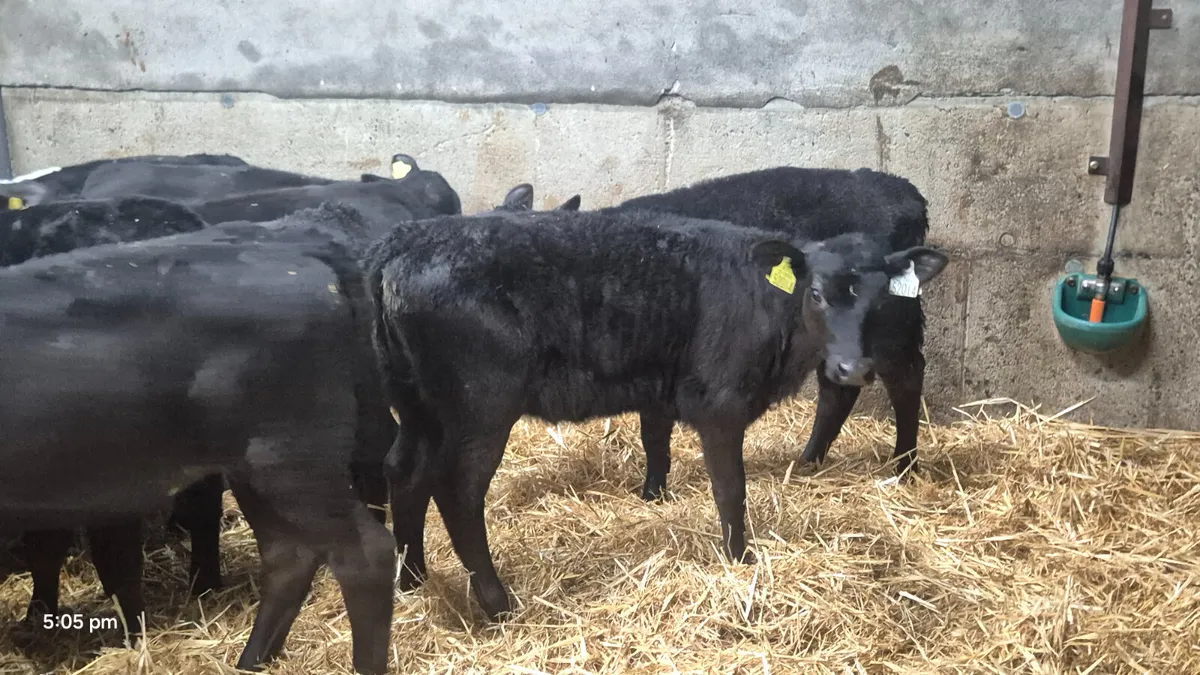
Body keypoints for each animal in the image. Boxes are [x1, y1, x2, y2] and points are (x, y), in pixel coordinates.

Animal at [364, 208, 949, 621]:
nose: (853, 366)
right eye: (818, 294)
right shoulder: (721, 404)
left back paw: (411, 578)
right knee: (458, 493)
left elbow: (657, 442)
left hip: (416, 404)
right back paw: (497, 603)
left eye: (880, 298)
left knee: (404, 472)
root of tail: (400, 242)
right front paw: (740, 560)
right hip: (480, 408)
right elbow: (730, 489)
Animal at [604, 166, 933, 498]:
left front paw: (652, 493)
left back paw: (905, 467)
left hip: (892, 328)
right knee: (838, 390)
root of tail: (903, 191)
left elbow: (653, 431)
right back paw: (808, 460)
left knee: (906, 378)